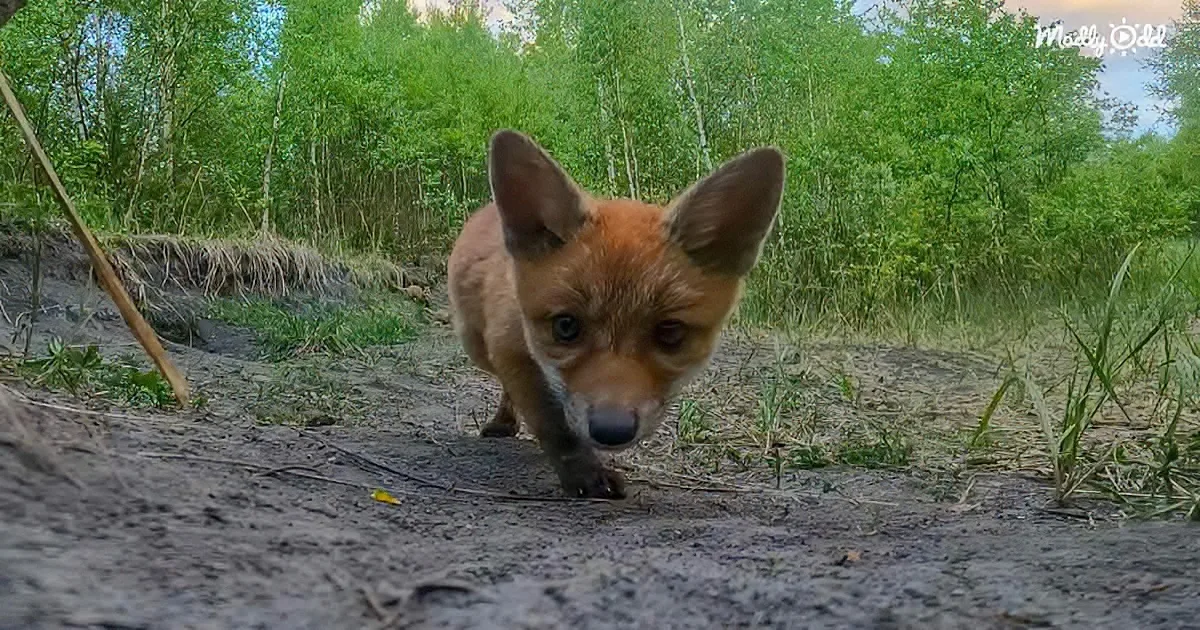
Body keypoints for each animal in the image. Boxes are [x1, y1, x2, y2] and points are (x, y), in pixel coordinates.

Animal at [447, 129, 785, 499]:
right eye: (565, 326)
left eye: (670, 332)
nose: (611, 431)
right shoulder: (510, 348)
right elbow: (554, 423)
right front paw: (583, 474)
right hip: (476, 346)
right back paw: (503, 422)